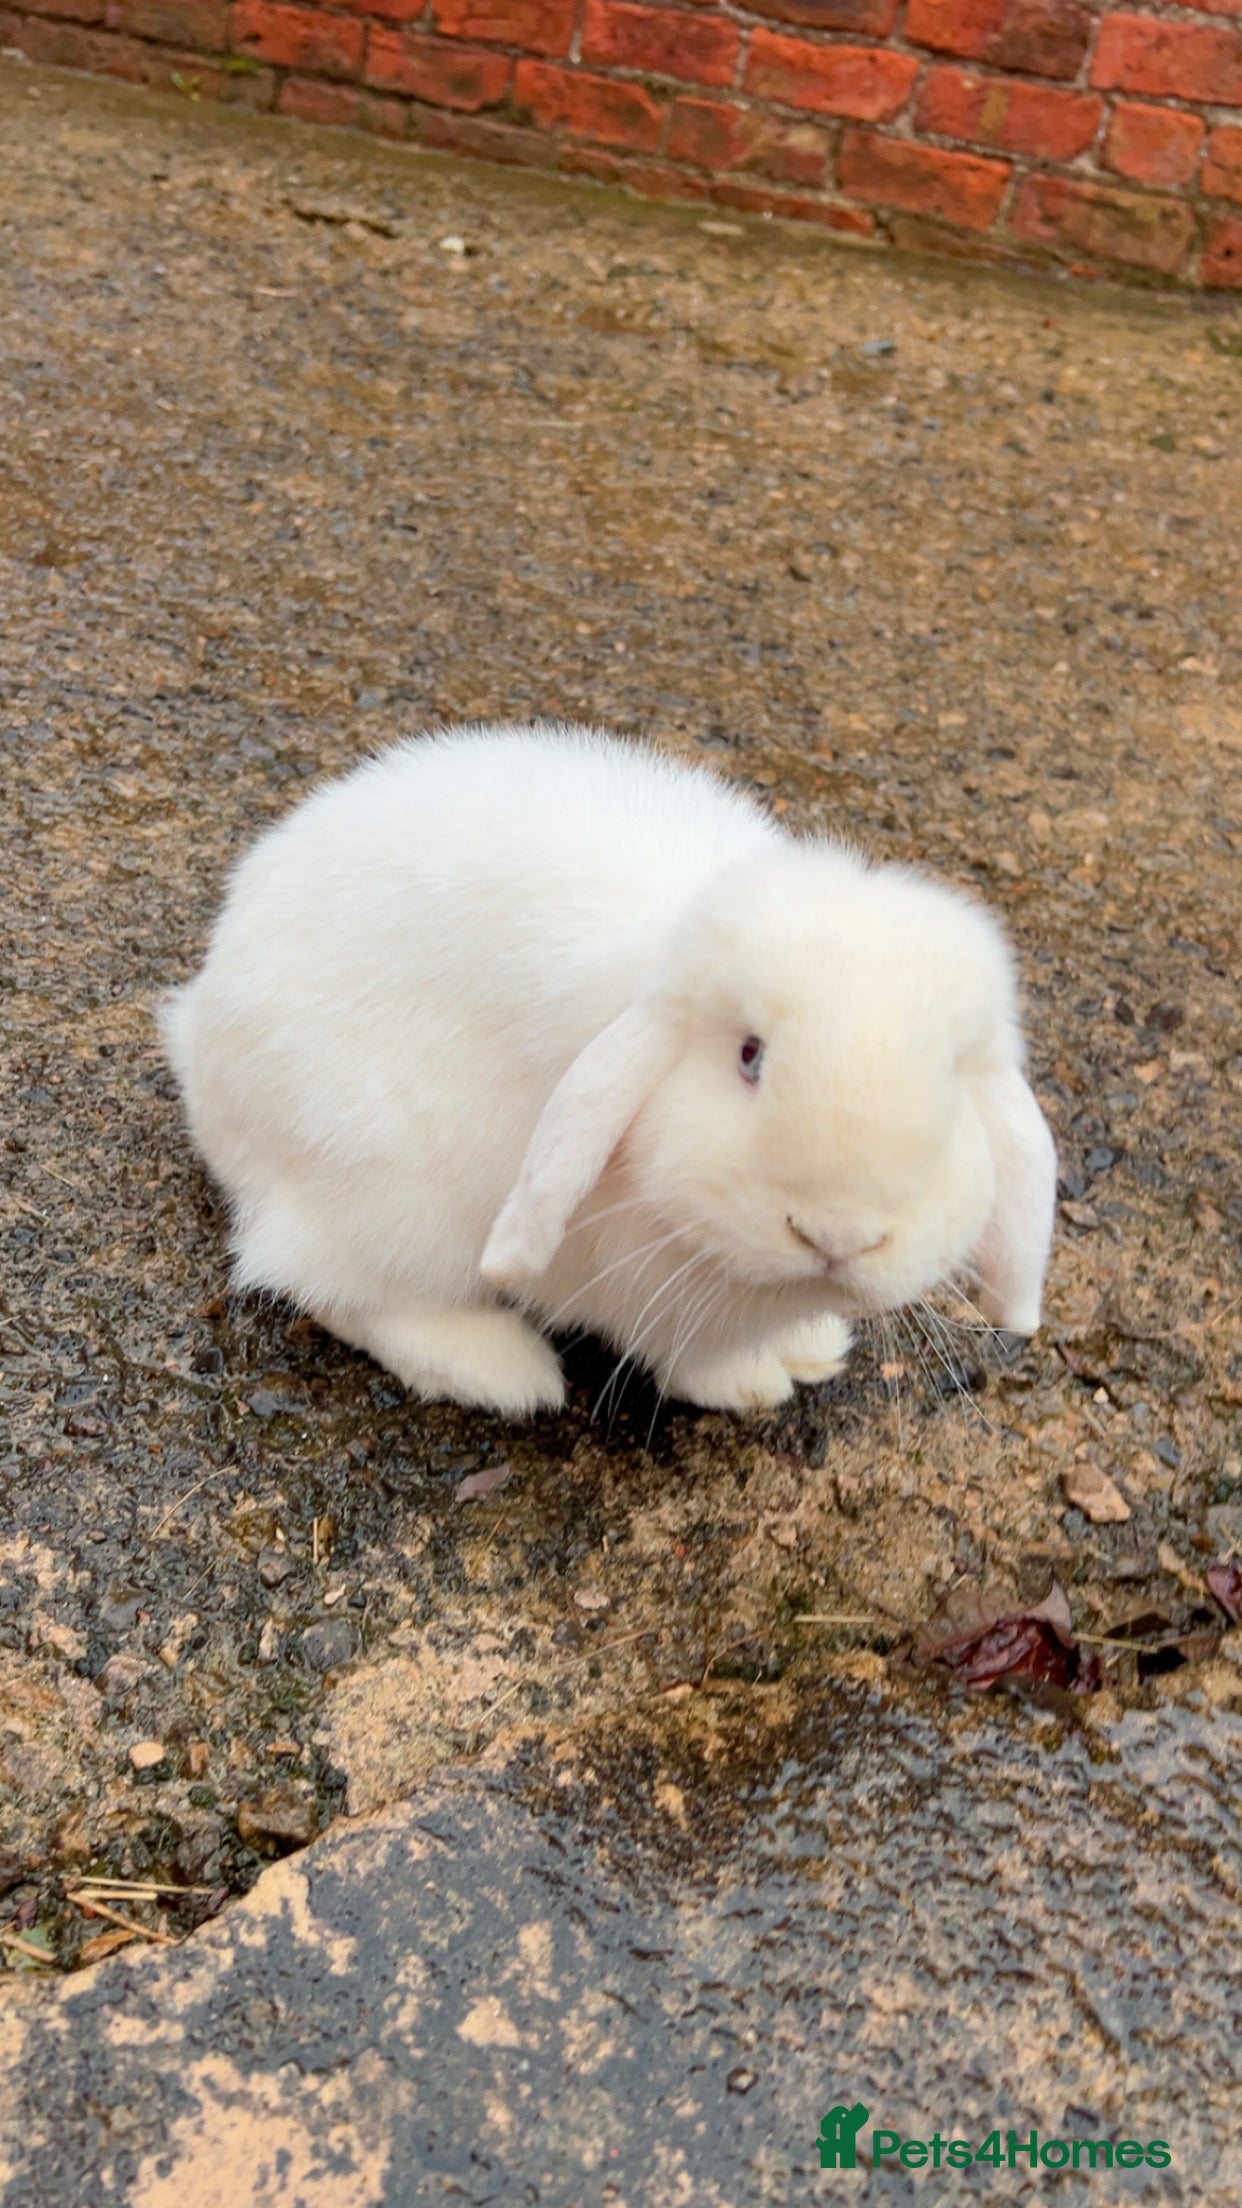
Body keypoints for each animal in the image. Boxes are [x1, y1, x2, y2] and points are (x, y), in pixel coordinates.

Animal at [162, 722, 1057, 1419]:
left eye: (953, 1084)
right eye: (749, 1056)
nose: (838, 1234)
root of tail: (200, 1036)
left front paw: (806, 1351)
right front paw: (754, 1382)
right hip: (386, 1191)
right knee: (326, 1283)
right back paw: (498, 1371)